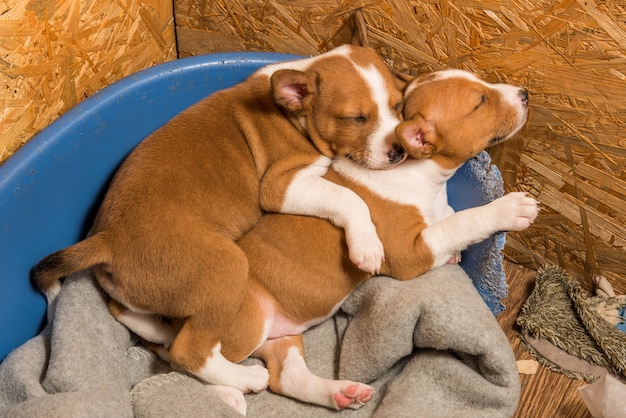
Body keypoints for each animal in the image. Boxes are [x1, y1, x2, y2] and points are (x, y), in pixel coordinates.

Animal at [31, 45, 404, 396]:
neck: (291, 115)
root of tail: (107, 239)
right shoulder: (281, 186)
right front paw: (367, 246)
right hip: (227, 269)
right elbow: (349, 198)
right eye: (355, 118)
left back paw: (164, 331)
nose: (399, 151)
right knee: (189, 352)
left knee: (123, 311)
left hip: (148, 292)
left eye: (398, 106)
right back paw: (244, 378)